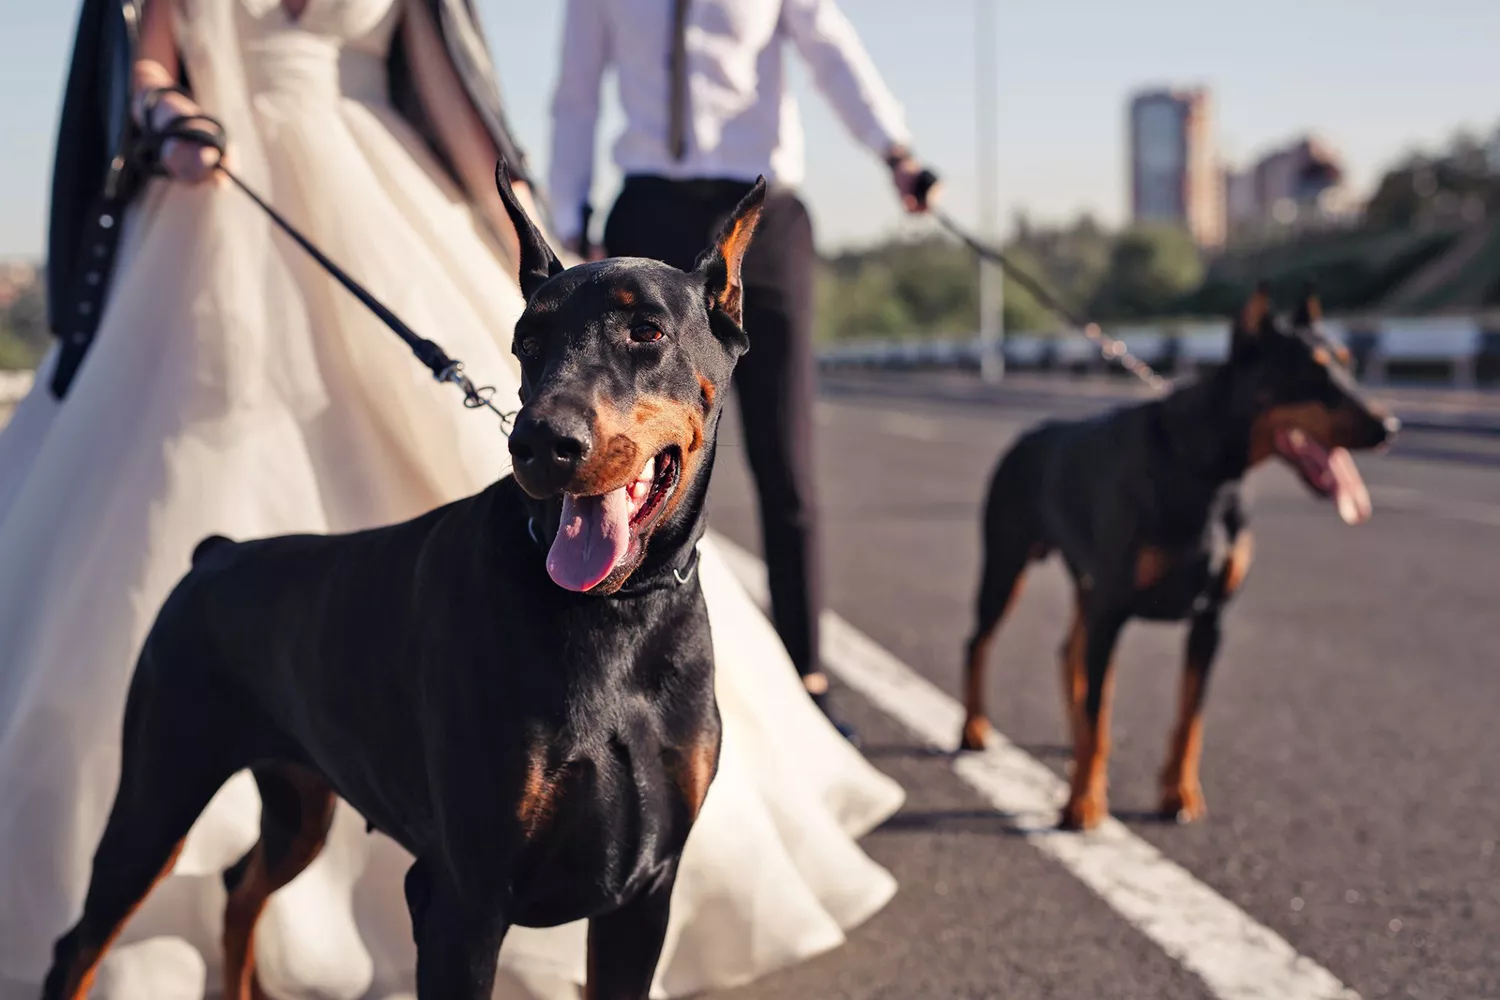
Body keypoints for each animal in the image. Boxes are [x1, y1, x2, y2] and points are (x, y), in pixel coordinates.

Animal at [41, 166, 768, 1000]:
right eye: (528, 340)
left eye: (645, 330)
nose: (538, 443)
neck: (615, 616)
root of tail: (212, 556)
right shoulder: (463, 896)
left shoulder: (645, 890)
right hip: (159, 788)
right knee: (80, 941)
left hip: (297, 801)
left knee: (239, 884)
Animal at [954, 293, 1398, 833]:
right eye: (1308, 371)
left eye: (1348, 364)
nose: (1388, 427)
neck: (1206, 467)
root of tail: (1022, 438)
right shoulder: (1113, 610)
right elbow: (1102, 716)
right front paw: (1083, 804)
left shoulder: (1210, 619)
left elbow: (1189, 718)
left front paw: (1178, 794)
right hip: (1007, 565)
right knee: (979, 641)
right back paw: (974, 729)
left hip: (1084, 584)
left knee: (1068, 651)